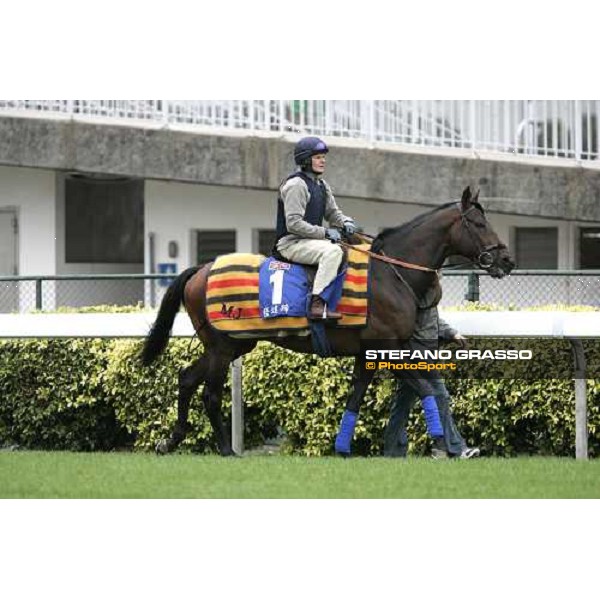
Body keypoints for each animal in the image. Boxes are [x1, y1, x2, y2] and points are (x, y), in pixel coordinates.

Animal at [142, 186, 516, 454]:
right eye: (479, 224)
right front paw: (441, 441)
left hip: (234, 345)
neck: (389, 273)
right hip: (223, 346)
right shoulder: (384, 347)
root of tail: (200, 269)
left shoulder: (369, 353)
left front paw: (342, 448)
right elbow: (424, 388)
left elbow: (356, 397)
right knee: (209, 393)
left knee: (186, 379)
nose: (506, 261)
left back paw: (170, 441)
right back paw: (225, 449)